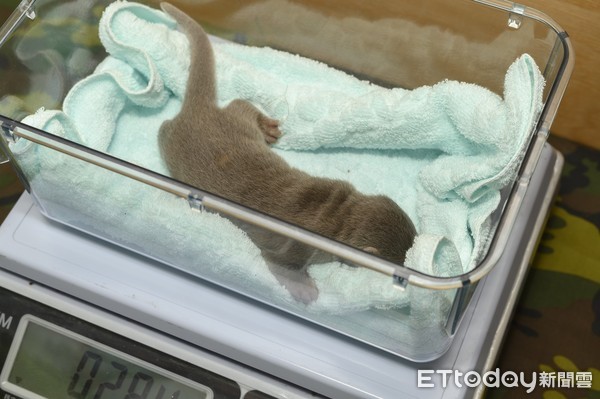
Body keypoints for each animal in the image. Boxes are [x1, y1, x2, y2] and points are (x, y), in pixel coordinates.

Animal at [157, 3, 414, 304]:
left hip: (235, 121)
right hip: (173, 142)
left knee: (239, 103)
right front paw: (306, 291)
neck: (339, 217)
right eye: (403, 263)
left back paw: (268, 128)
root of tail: (200, 110)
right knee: (169, 127)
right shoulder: (296, 246)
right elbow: (281, 264)